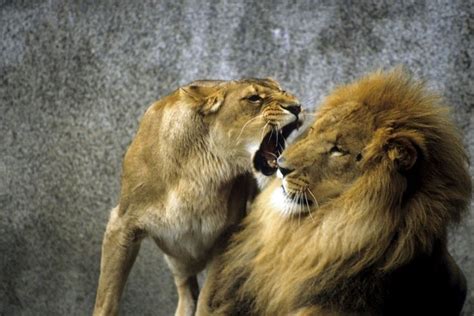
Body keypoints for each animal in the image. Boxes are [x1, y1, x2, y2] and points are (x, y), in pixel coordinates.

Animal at [91, 77, 304, 316]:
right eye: (254, 98)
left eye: (282, 91)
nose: (297, 107)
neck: (202, 167)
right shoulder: (122, 224)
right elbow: (106, 297)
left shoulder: (226, 237)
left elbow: (207, 298)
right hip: (177, 257)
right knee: (187, 292)